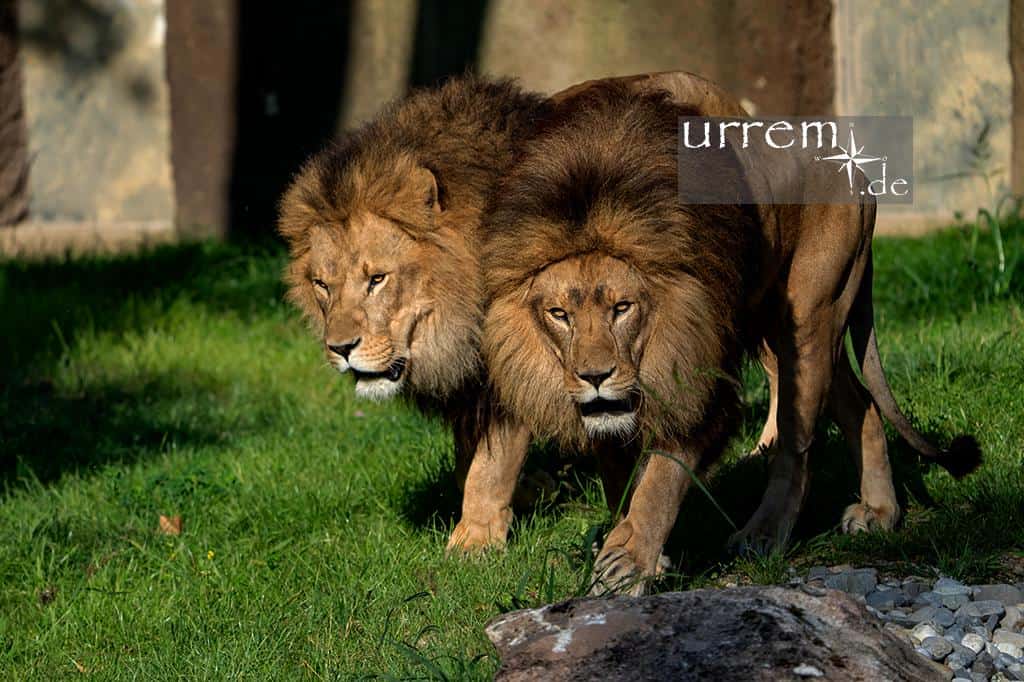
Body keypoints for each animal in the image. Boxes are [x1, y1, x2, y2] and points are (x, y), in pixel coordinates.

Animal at [481, 81, 980, 595]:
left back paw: (763, 535)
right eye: (559, 314)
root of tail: (854, 169)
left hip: (810, 315)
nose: (594, 376)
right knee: (860, 403)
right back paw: (881, 512)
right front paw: (639, 548)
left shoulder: (700, 375)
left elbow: (660, 483)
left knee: (798, 444)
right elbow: (622, 479)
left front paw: (628, 564)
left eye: (623, 308)